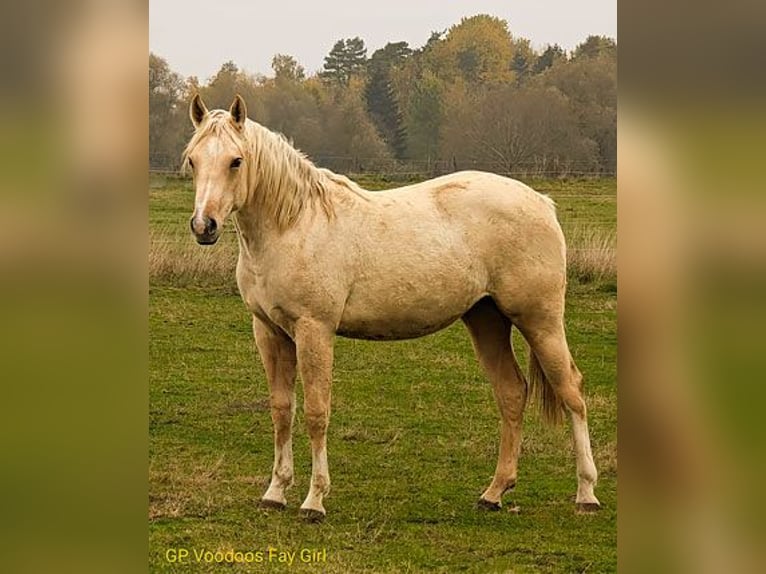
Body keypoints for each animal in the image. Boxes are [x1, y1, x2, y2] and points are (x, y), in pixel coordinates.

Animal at [184, 94, 600, 520]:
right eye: (193, 160)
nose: (204, 226)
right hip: (487, 320)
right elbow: (282, 410)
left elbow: (317, 412)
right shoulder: (269, 332)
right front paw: (275, 492)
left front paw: (314, 500)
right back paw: (494, 492)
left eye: (236, 161)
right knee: (513, 394)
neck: (295, 224)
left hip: (540, 321)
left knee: (572, 392)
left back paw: (586, 493)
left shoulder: (314, 330)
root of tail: (542, 203)